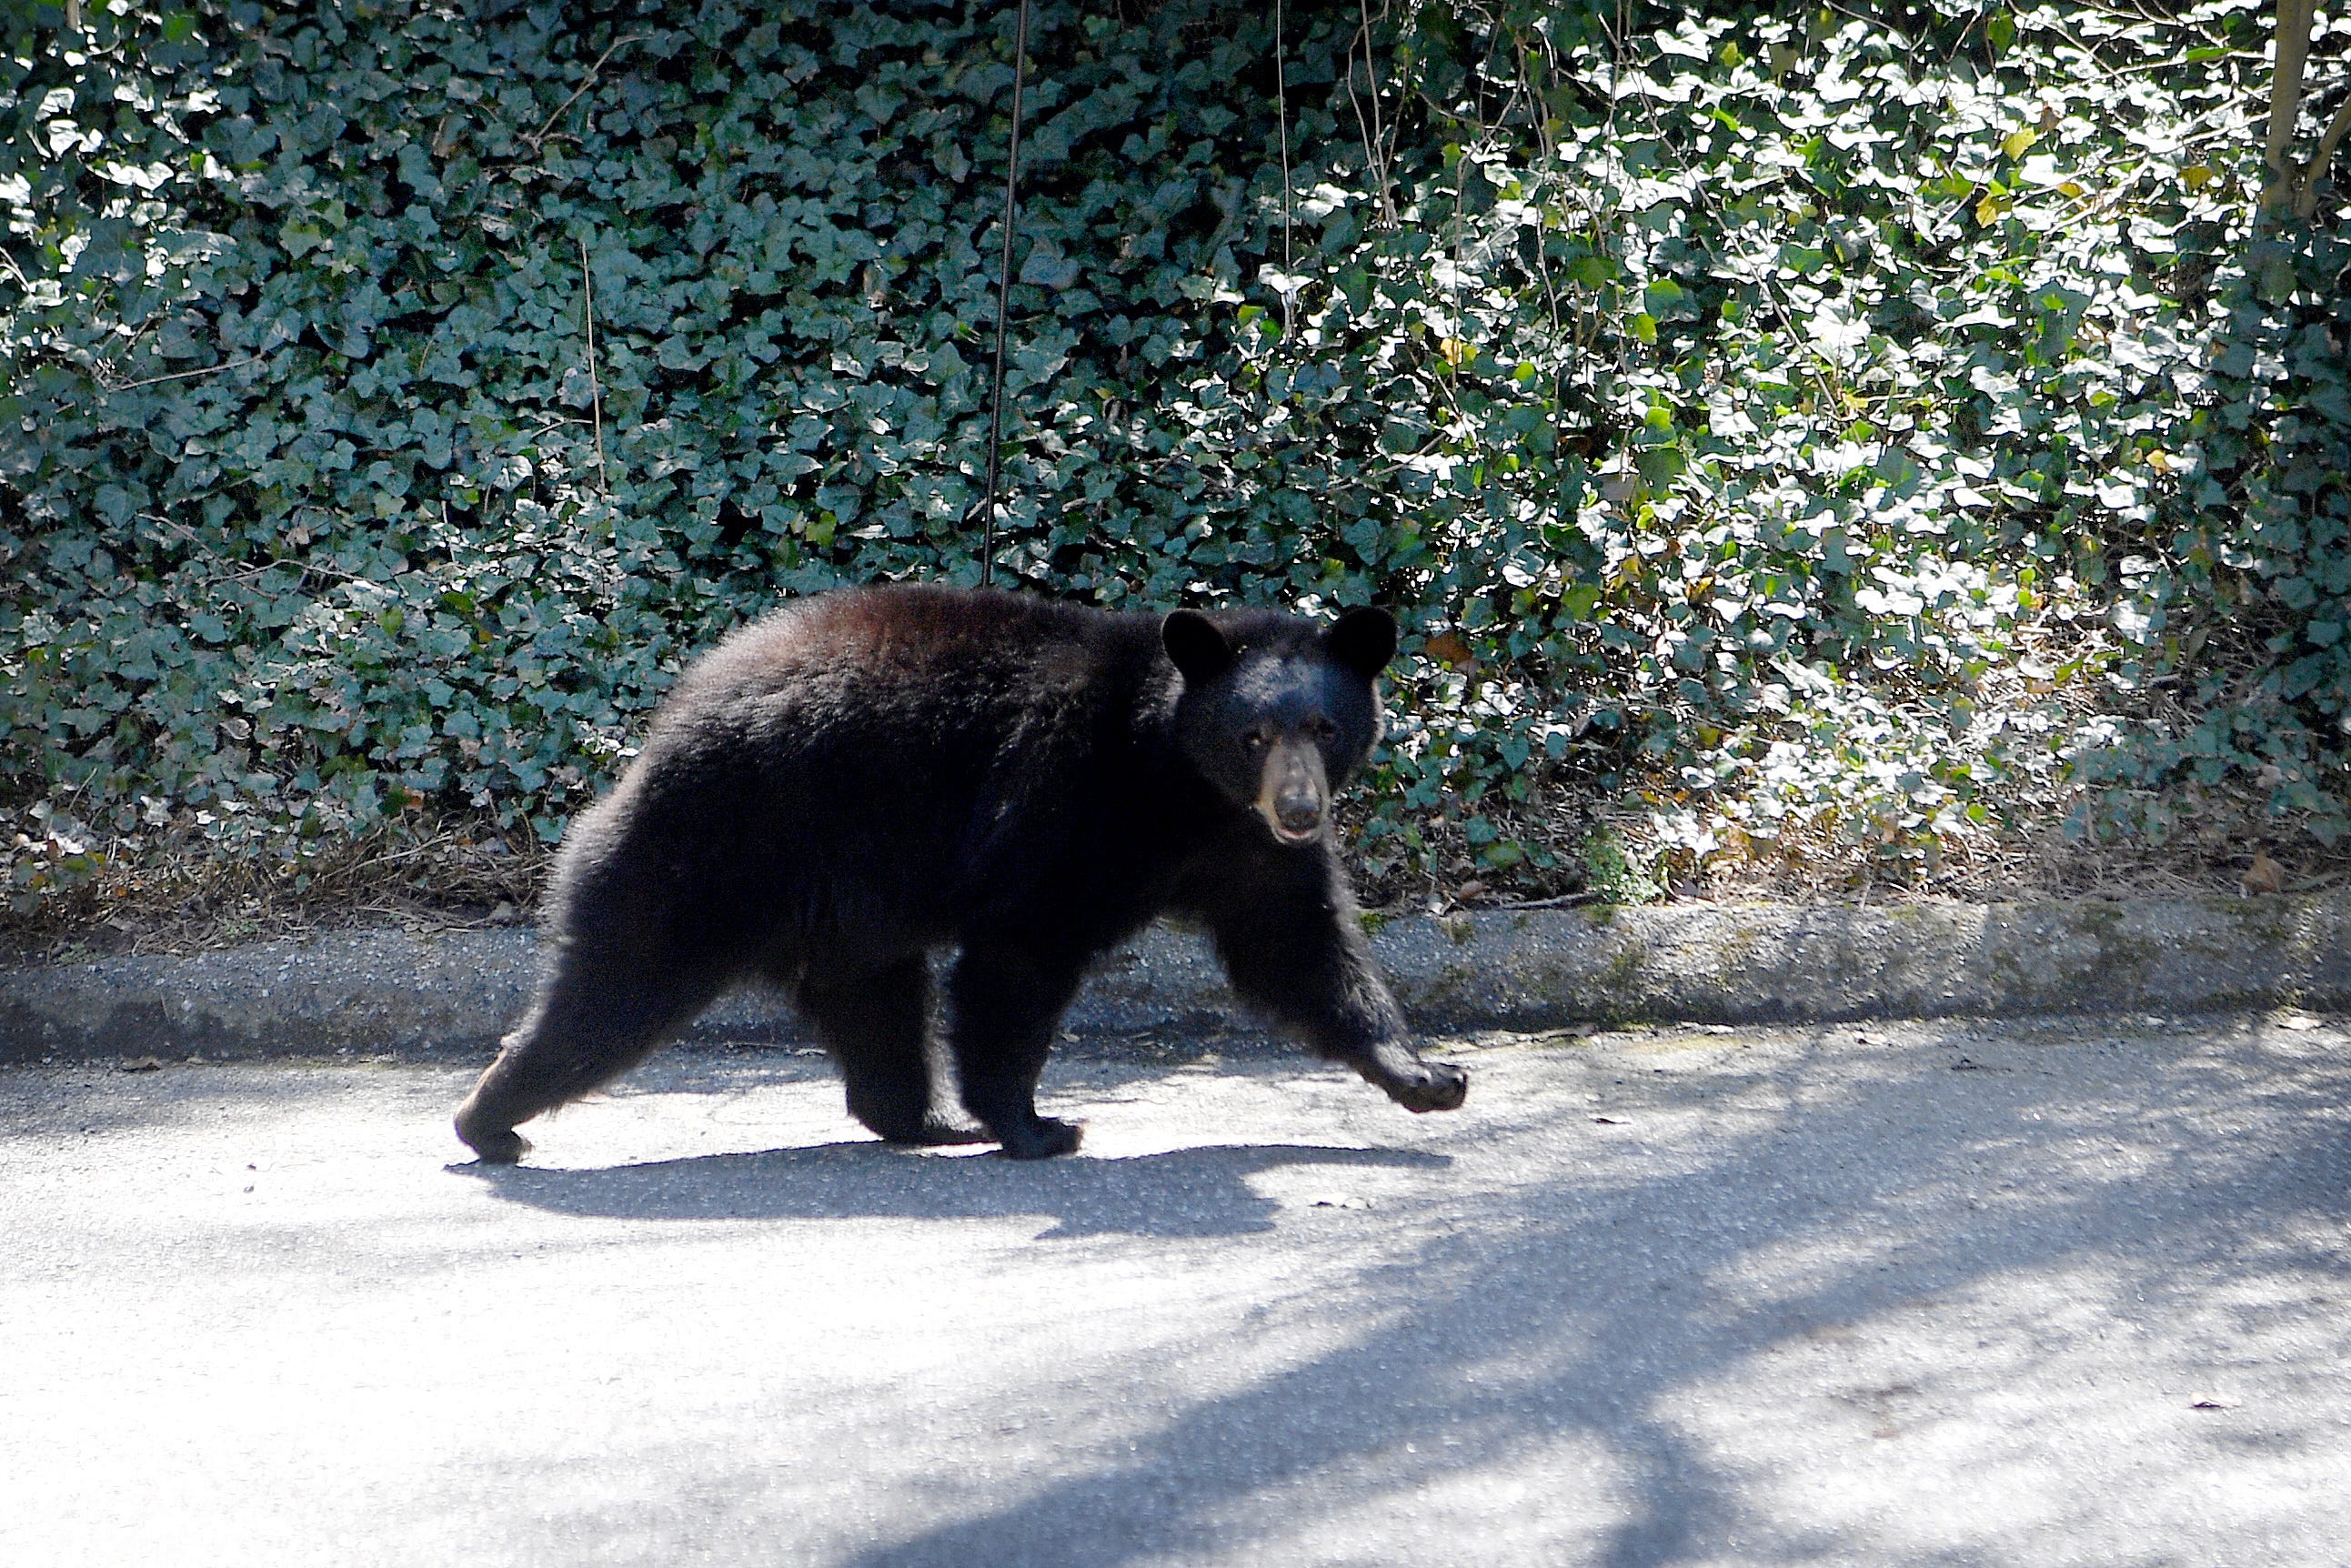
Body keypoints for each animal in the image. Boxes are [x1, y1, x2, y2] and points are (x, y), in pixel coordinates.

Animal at [448, 583, 1457, 1161]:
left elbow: (1295, 945)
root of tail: (662, 732)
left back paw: (920, 1119)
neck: (1177, 779)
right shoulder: (1060, 808)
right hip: (717, 847)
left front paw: (1424, 1075)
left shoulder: (1245, 853)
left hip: (845, 906)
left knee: (876, 1010)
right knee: (613, 988)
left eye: (1324, 726)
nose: (1299, 809)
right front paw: (1036, 1124)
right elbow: (1019, 959)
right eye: (1252, 733)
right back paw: (489, 1119)